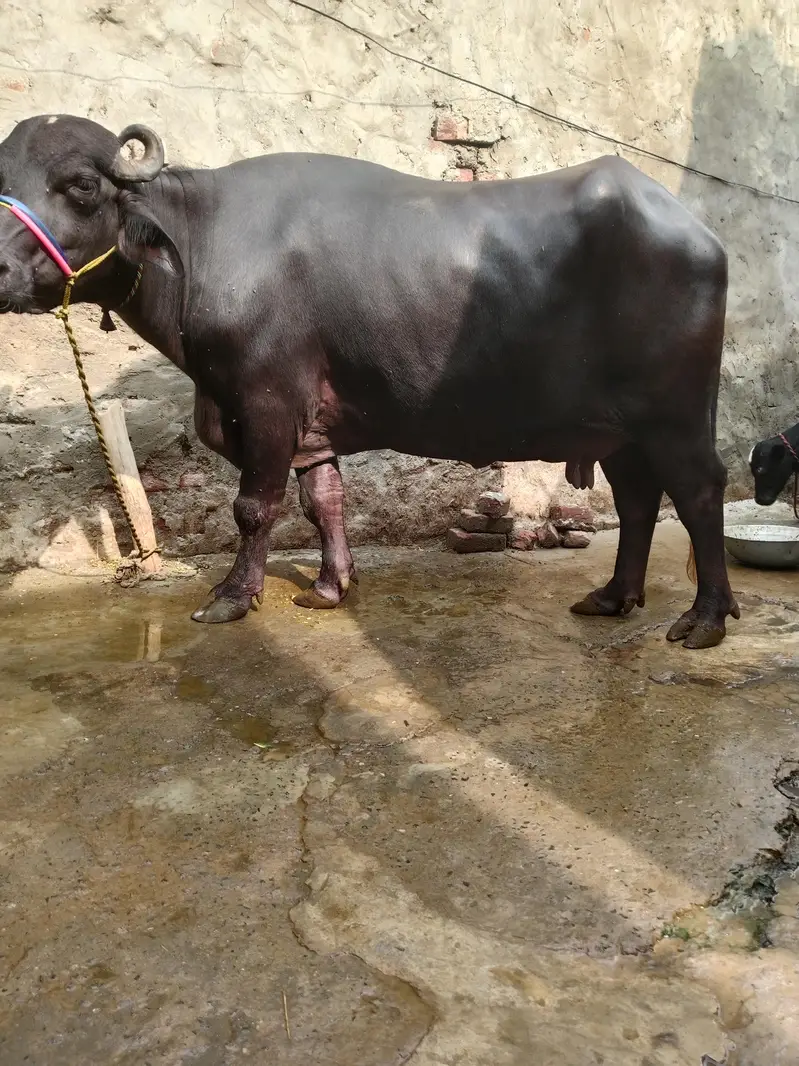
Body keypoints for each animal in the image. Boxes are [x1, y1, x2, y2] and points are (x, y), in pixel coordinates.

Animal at [0, 115, 740, 648]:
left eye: (82, 185)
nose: (0, 271)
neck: (199, 249)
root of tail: (698, 234)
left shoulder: (265, 405)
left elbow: (254, 507)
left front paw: (231, 597)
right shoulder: (309, 426)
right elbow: (323, 500)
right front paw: (330, 586)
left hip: (674, 414)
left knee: (700, 492)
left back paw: (705, 618)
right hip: (620, 429)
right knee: (639, 500)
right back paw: (613, 597)